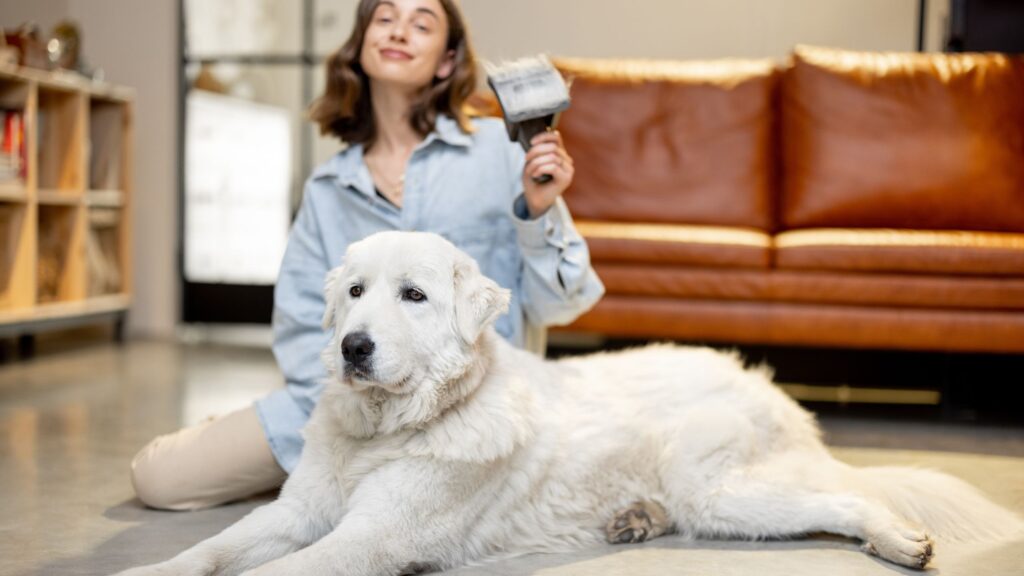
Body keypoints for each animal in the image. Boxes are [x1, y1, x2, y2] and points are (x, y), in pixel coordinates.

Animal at [117, 229, 1015, 573]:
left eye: (413, 296)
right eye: (356, 293)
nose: (353, 347)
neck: (391, 430)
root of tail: (764, 385)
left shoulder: (370, 538)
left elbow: (279, 568)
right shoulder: (298, 513)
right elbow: (214, 549)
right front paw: (159, 568)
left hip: (724, 490)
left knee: (846, 499)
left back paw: (896, 539)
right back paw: (634, 519)